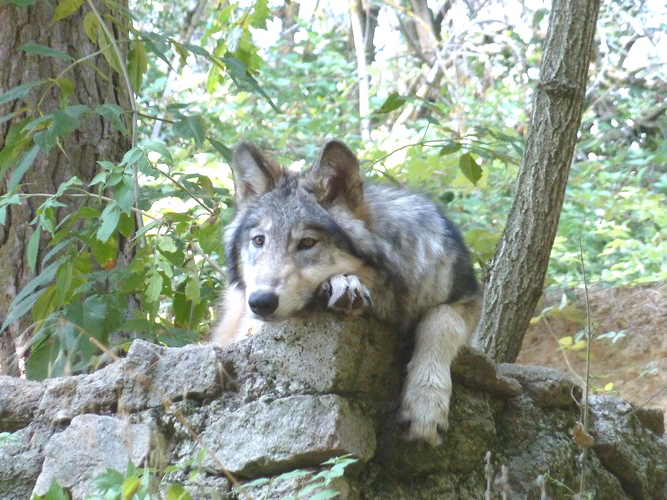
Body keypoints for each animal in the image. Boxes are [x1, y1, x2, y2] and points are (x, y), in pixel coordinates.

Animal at [211, 140, 482, 446]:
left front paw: (426, 405)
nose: (260, 302)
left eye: (307, 243)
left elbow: (442, 321)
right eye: (259, 240)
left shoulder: (468, 300)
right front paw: (344, 285)